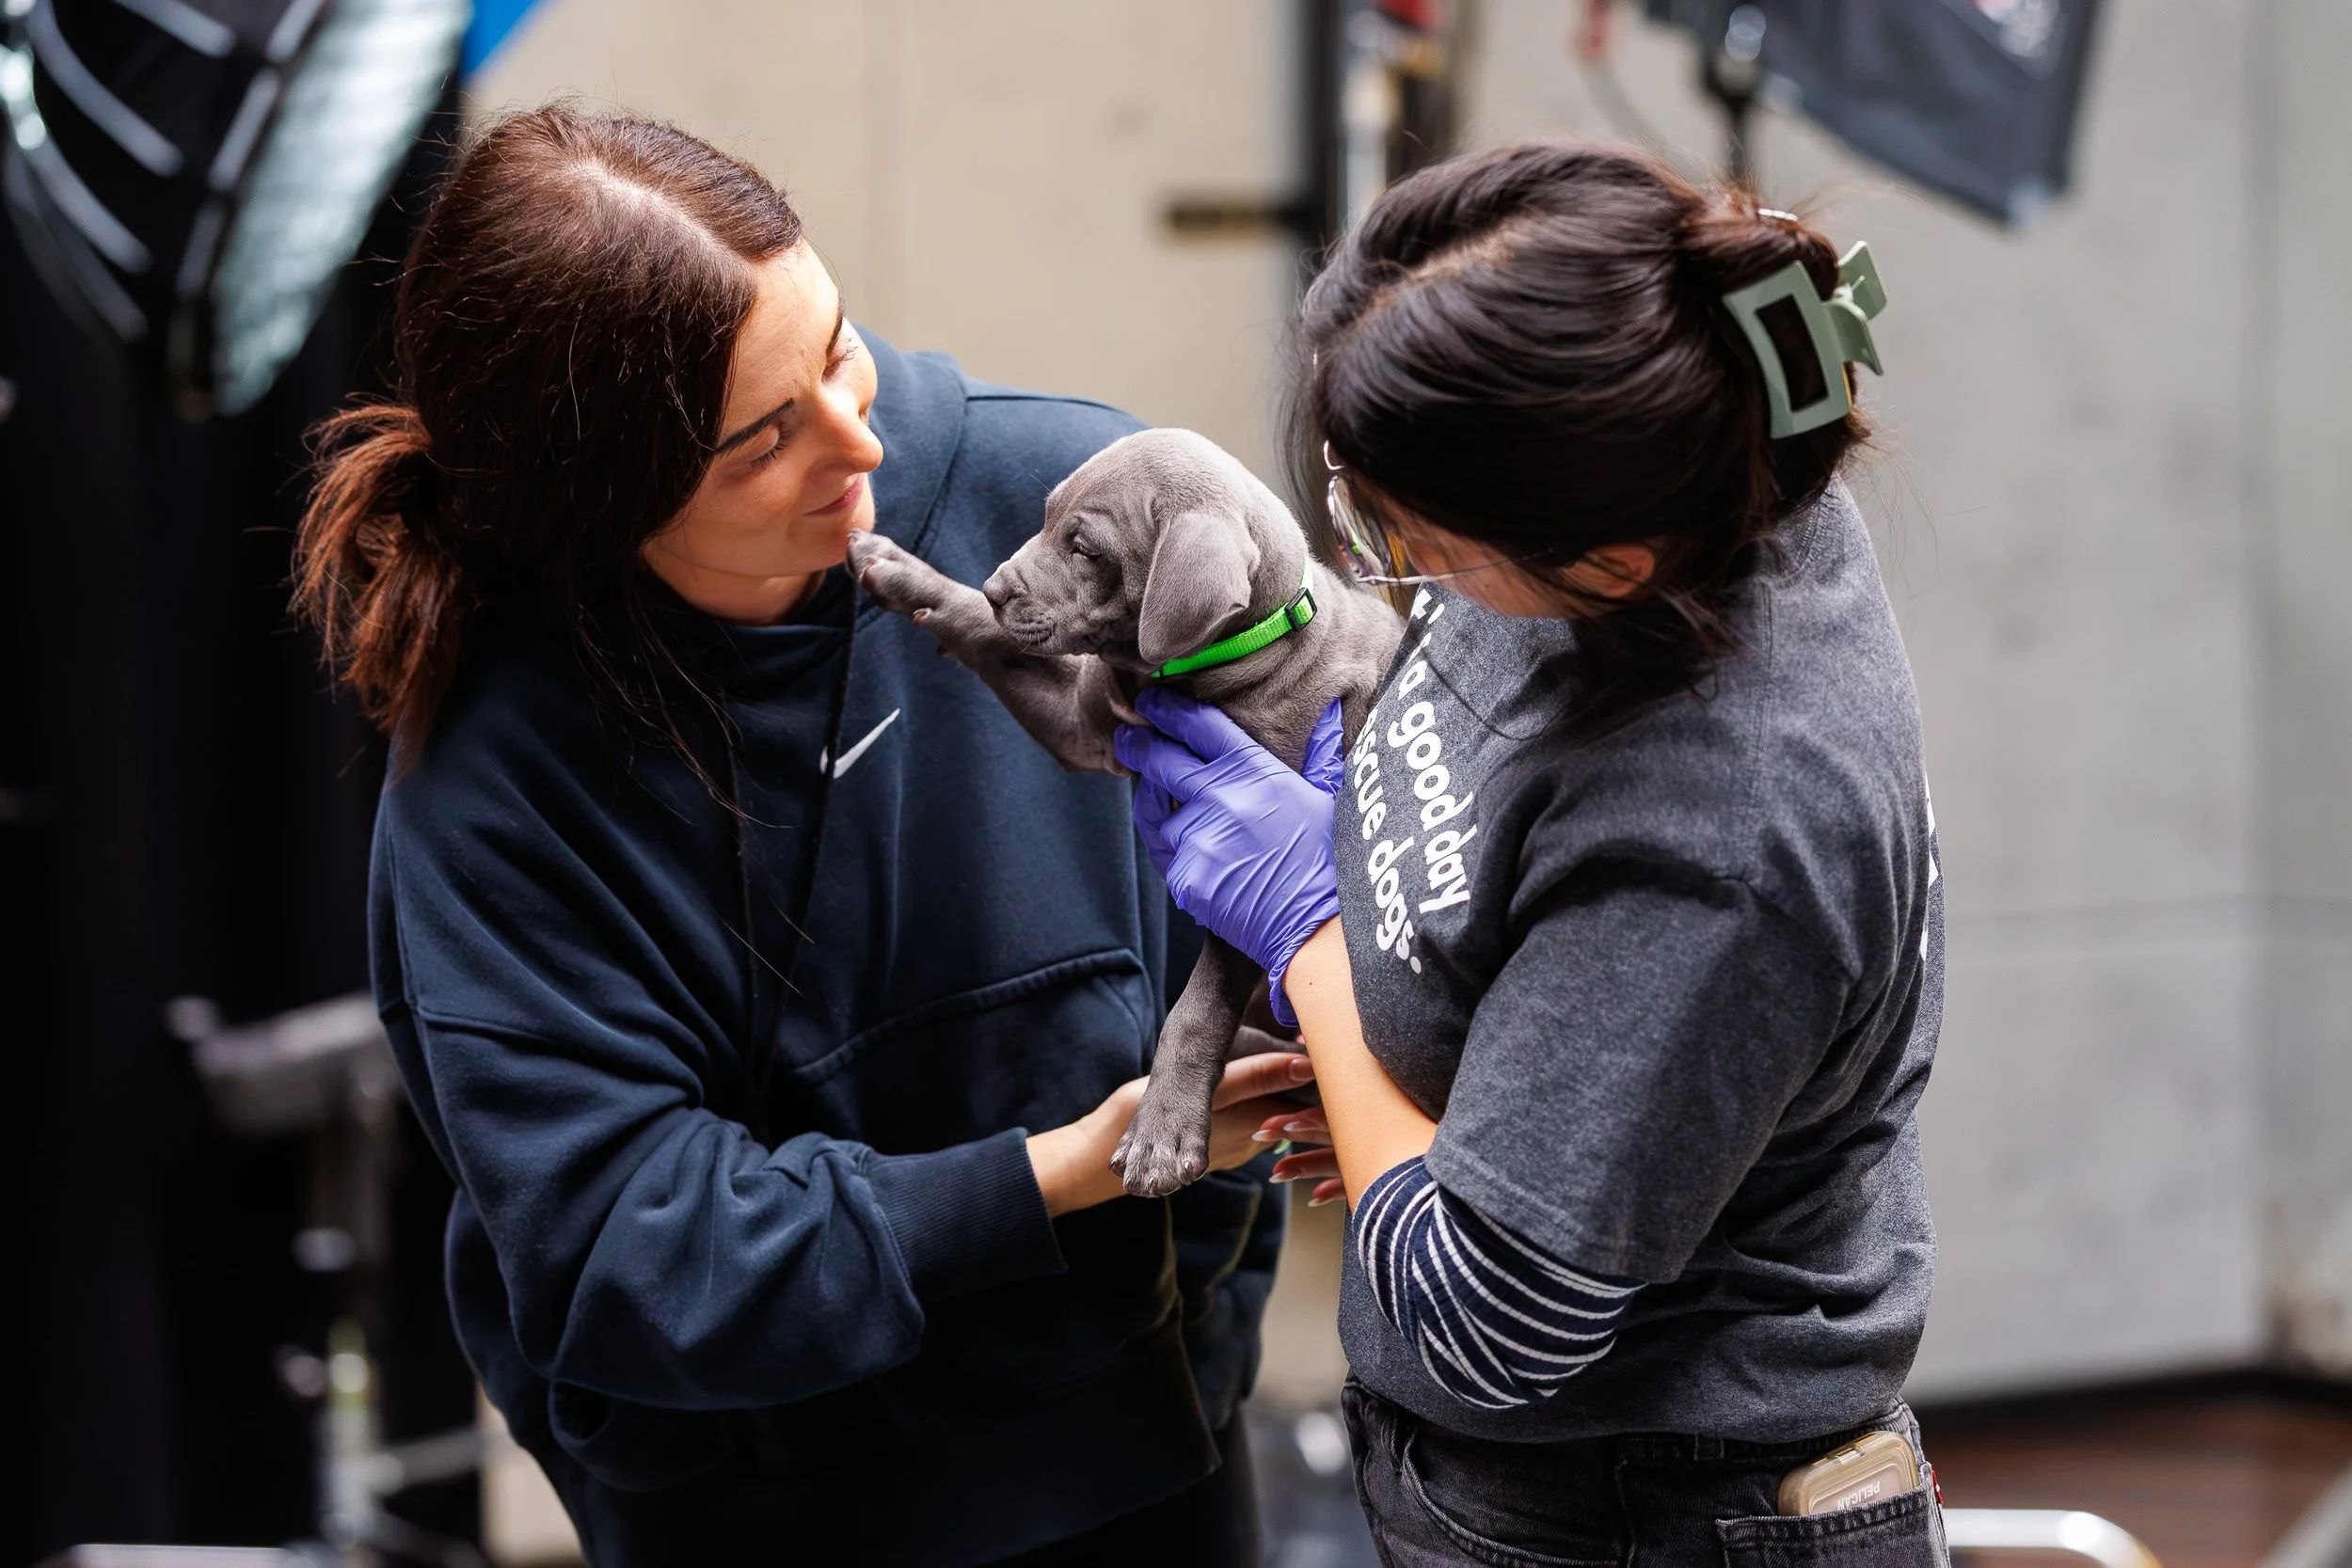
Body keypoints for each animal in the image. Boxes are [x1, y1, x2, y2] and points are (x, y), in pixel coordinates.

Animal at [848, 428, 1402, 1196]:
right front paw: (902, 569)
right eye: (1046, 519)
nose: (997, 587)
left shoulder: (1239, 874)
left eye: (1085, 548)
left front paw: (1160, 1133)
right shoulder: (1083, 724)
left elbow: (1197, 1006)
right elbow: (982, 634)